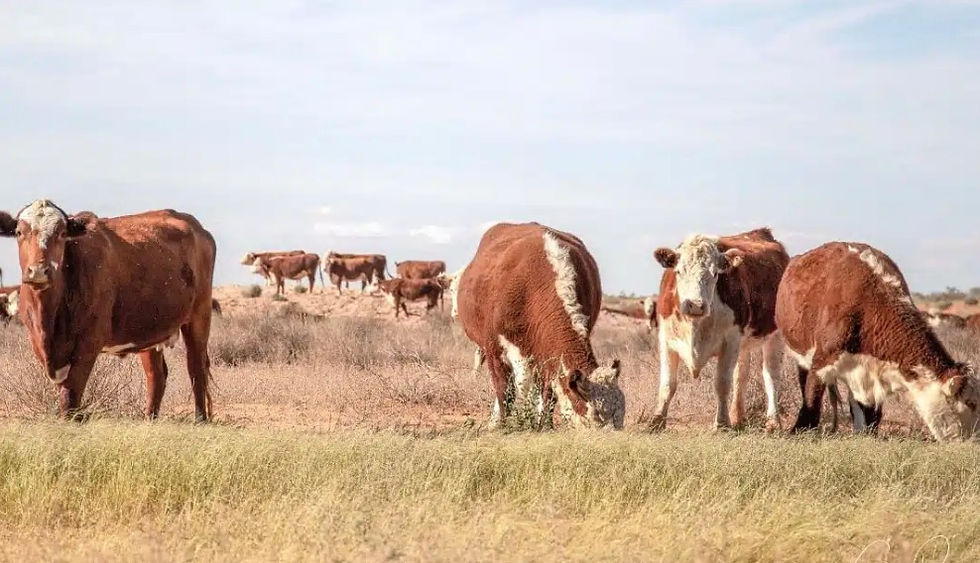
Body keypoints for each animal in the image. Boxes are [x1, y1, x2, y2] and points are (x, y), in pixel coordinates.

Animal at [0, 199, 216, 421]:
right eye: (19, 232)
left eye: (61, 233)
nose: (38, 271)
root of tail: (196, 227)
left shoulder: (88, 344)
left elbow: (71, 397)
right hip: (149, 331)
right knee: (156, 376)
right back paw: (149, 420)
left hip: (199, 316)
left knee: (196, 369)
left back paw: (200, 419)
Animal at [456, 222, 625, 430]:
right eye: (596, 417)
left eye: (620, 417)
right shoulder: (494, 349)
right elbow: (504, 390)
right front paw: (499, 424)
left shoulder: (548, 355)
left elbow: (548, 393)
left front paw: (544, 424)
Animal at [652, 228, 789, 431]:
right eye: (678, 271)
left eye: (715, 273)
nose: (695, 305)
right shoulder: (666, 340)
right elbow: (668, 384)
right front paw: (656, 421)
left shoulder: (730, 341)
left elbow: (722, 383)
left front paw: (722, 423)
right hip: (743, 344)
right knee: (741, 375)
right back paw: (737, 416)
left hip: (774, 336)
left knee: (771, 376)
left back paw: (773, 421)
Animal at [777, 242, 980, 441]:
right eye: (971, 403)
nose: (975, 438)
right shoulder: (822, 361)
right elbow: (812, 398)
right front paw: (799, 430)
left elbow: (870, 412)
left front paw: (865, 434)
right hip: (801, 356)